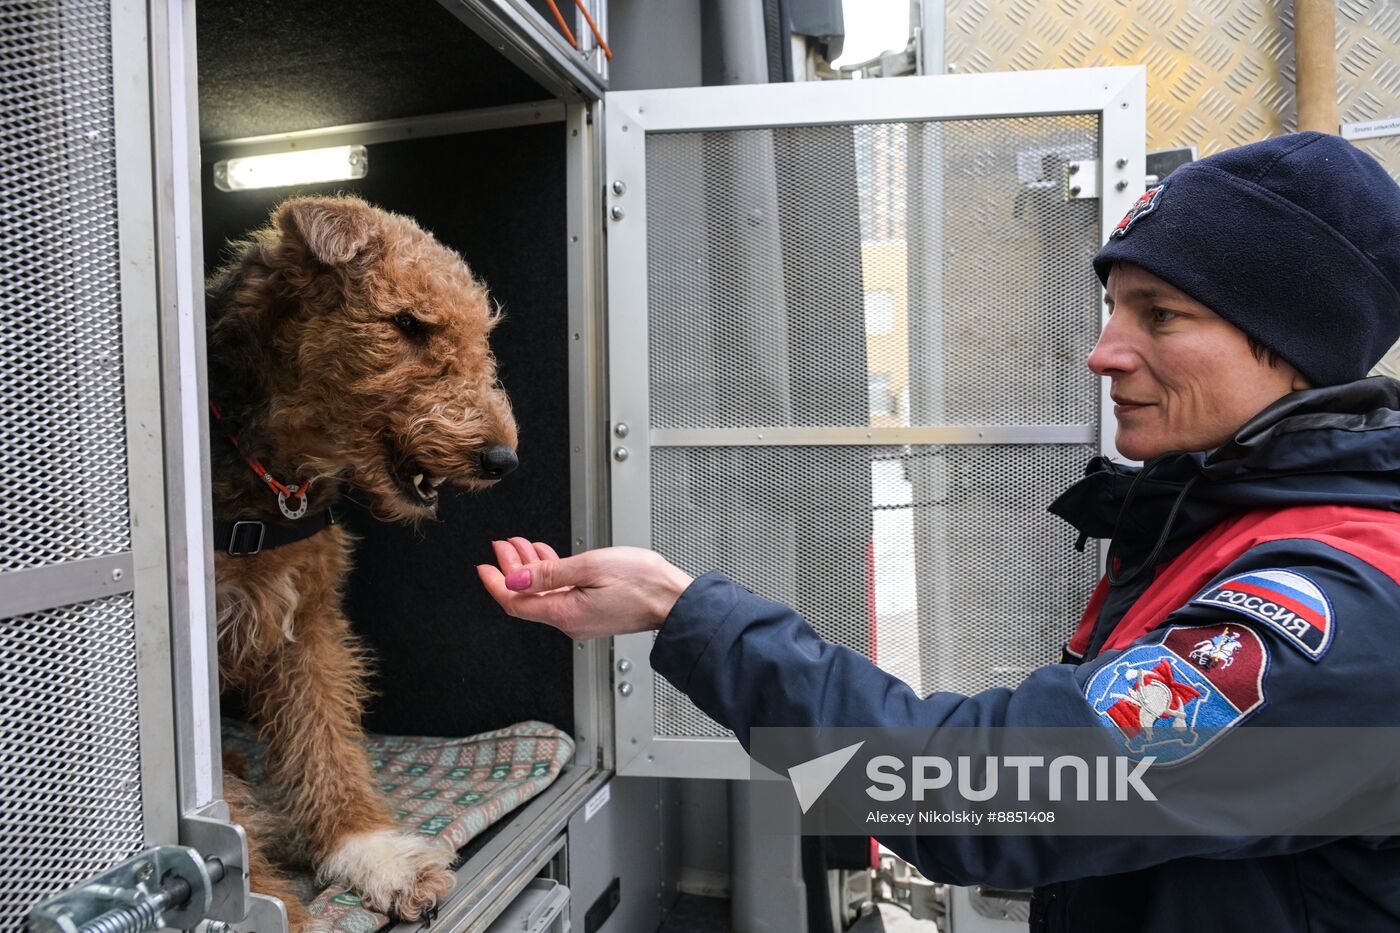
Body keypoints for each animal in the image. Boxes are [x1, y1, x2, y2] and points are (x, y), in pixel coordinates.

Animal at [204, 196, 518, 924]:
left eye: (481, 331)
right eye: (407, 323)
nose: (502, 458)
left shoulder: (305, 623)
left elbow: (325, 744)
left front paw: (370, 852)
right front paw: (272, 906)